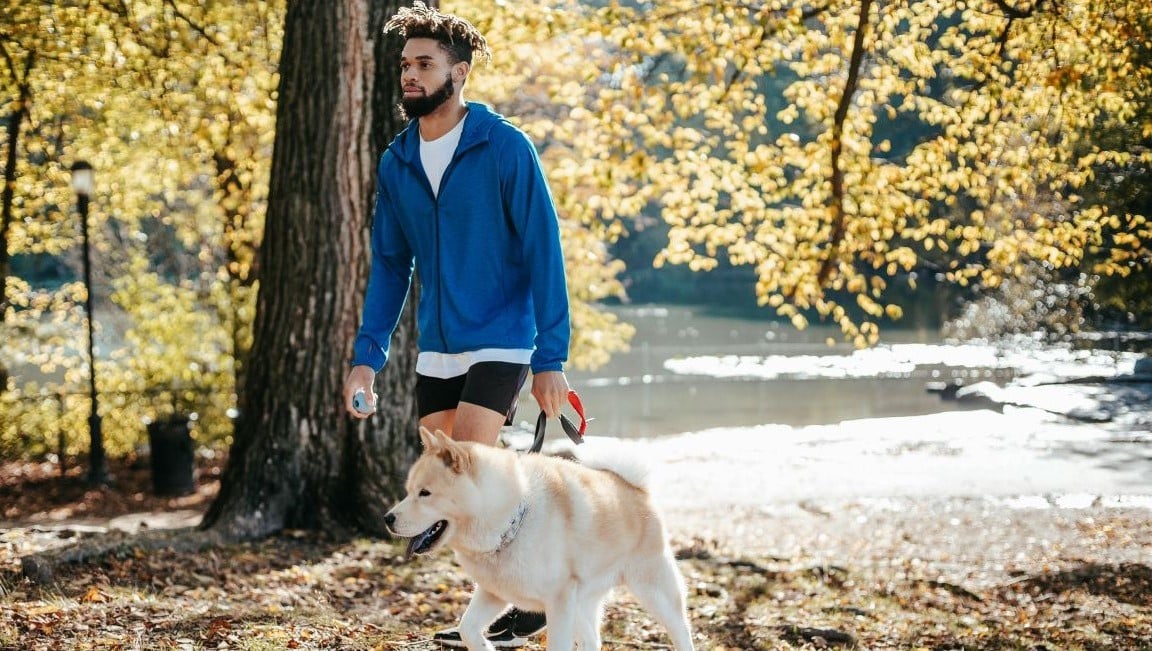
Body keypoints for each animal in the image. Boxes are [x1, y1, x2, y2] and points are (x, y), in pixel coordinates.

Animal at [384, 426, 691, 649]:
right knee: (592, 640)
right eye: (408, 491)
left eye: (425, 493)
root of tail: (635, 489)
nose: (388, 519)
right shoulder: (495, 593)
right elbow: (467, 628)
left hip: (654, 591)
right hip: (582, 602)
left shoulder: (558, 602)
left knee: (682, 632)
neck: (510, 521)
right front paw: (484, 646)